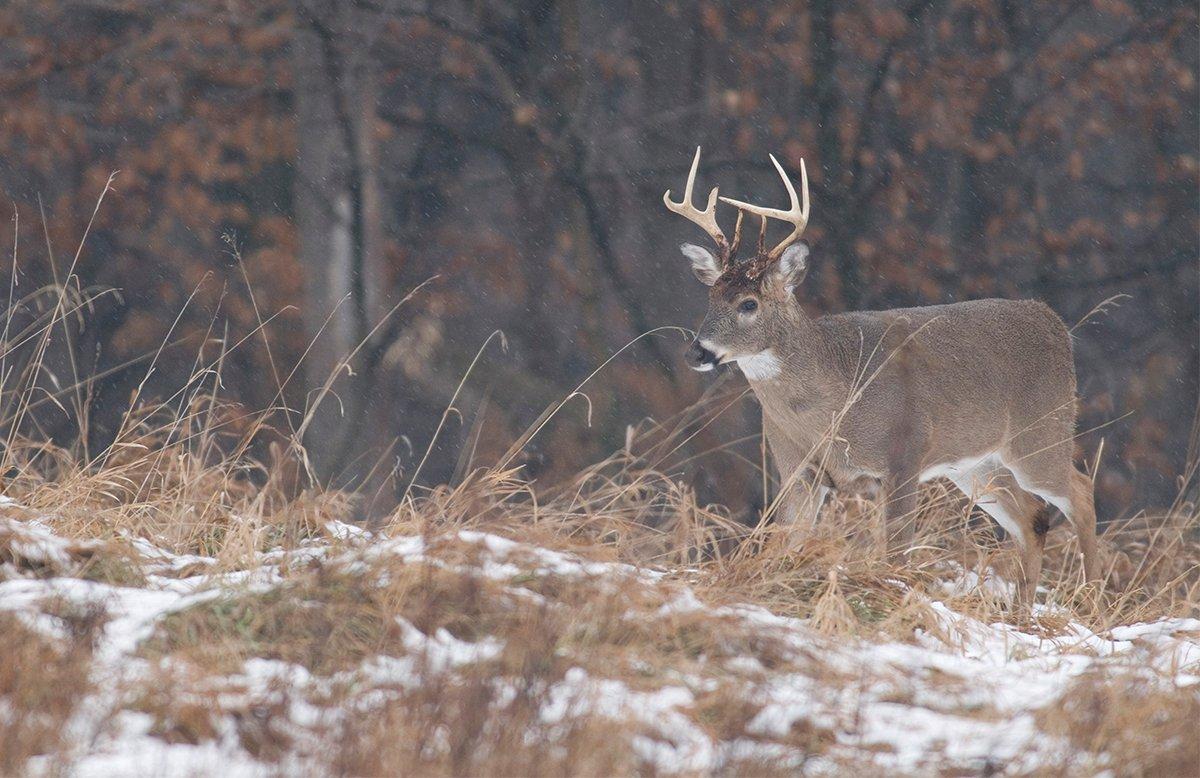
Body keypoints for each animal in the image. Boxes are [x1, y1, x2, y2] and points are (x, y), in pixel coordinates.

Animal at [662, 148, 1099, 605]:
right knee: (1033, 516)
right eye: (711, 297)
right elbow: (787, 541)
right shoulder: (795, 467)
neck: (832, 400)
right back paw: (1023, 609)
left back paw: (1091, 596)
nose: (697, 352)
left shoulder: (904, 455)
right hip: (975, 463)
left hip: (1040, 435)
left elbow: (896, 552)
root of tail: (1055, 324)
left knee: (1080, 491)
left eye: (749, 303)